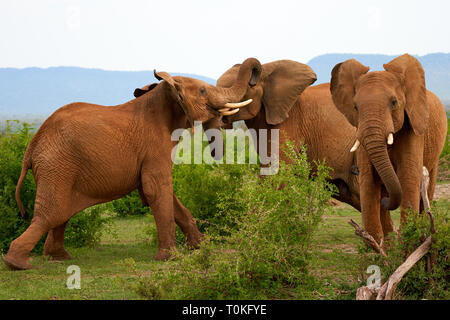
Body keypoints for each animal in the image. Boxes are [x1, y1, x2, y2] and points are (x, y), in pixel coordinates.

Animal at [3, 58, 262, 270]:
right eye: (202, 90)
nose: (254, 76)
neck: (164, 93)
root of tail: (32, 146)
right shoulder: (154, 146)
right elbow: (156, 189)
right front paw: (170, 258)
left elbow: (162, 193)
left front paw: (199, 247)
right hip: (57, 165)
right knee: (51, 213)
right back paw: (17, 264)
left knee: (60, 214)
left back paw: (58, 258)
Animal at [328, 53, 448, 241]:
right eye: (355, 107)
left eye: (394, 102)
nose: (386, 202)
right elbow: (368, 181)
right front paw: (377, 247)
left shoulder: (413, 127)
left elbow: (408, 177)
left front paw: (407, 244)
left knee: (427, 188)